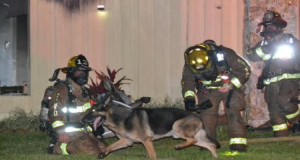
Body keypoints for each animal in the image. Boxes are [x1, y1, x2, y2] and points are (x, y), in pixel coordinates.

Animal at [84, 96, 220, 159]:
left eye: (94, 111)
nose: (82, 120)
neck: (120, 118)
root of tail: (198, 117)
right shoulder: (126, 141)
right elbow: (110, 146)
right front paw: (103, 153)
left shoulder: (146, 140)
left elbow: (152, 155)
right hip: (195, 137)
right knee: (210, 145)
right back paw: (215, 157)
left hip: (177, 127)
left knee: (193, 140)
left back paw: (180, 146)